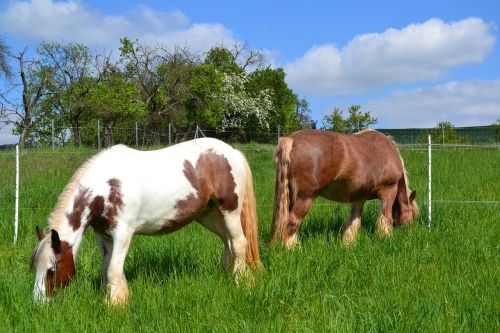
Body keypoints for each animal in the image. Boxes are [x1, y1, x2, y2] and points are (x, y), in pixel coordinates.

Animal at [30, 137, 262, 304]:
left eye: (52, 270)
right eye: (35, 268)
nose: (38, 303)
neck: (104, 188)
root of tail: (233, 153)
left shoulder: (123, 234)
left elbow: (113, 270)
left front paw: (116, 305)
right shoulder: (103, 236)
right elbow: (107, 269)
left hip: (230, 211)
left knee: (239, 243)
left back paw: (241, 283)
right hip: (209, 216)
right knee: (228, 242)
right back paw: (227, 276)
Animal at [272, 127, 420, 246]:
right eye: (413, 214)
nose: (410, 230)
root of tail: (291, 140)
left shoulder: (359, 198)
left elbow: (354, 222)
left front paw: (348, 243)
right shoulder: (389, 190)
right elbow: (385, 218)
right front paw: (385, 238)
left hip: (290, 197)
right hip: (305, 197)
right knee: (292, 223)